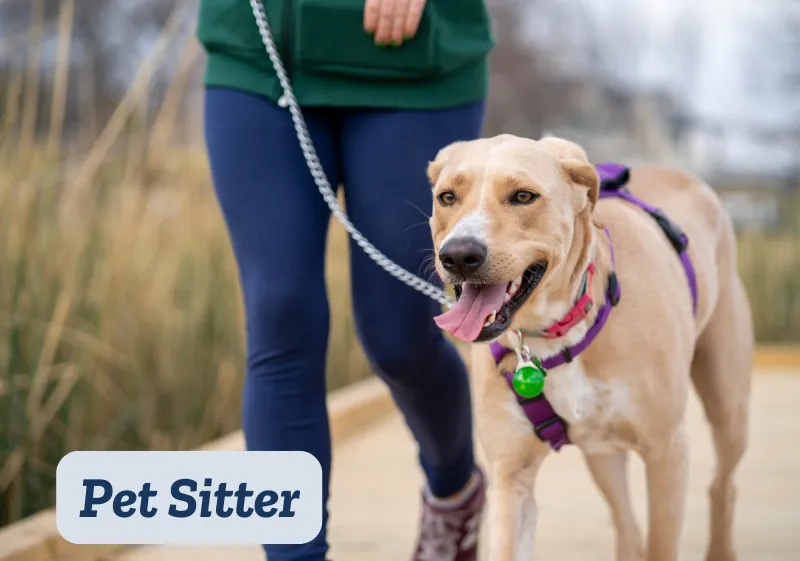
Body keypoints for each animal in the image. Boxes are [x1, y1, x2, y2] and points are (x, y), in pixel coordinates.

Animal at [428, 135, 752, 560]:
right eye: (447, 197)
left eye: (523, 196)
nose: (459, 255)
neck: (551, 335)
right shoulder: (512, 474)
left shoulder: (667, 451)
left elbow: (661, 544)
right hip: (602, 452)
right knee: (626, 521)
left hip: (729, 410)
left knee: (722, 485)